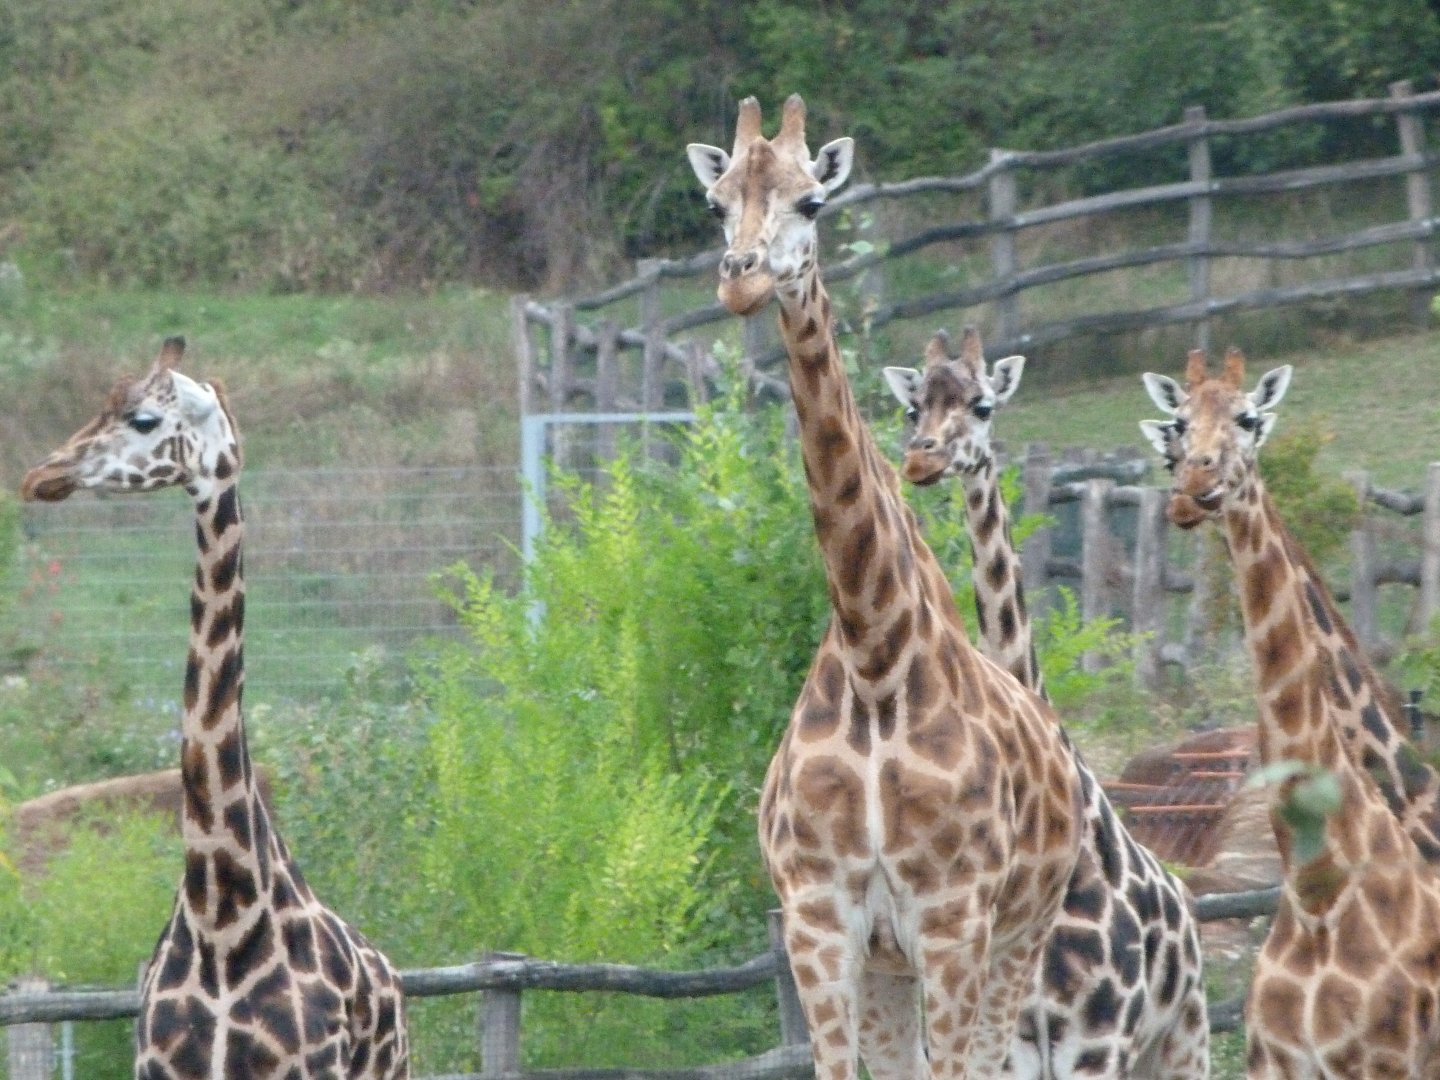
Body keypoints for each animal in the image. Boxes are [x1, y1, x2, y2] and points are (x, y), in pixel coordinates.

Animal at [687, 95, 1084, 1080]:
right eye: (716, 203)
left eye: (813, 201)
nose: (741, 281)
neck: (874, 660)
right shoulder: (822, 924)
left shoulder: (952, 920)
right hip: (894, 968)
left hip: (1018, 937)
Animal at [882, 326, 1209, 1077]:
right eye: (915, 407)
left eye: (982, 404)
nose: (923, 456)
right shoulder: (1016, 1050)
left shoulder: (1098, 1045)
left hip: (1183, 1040)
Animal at [1141, 348, 1440, 1078]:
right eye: (1176, 427)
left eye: (1248, 419)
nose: (1192, 487)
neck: (1317, 891)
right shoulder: (1272, 1058)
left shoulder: (1384, 1062)